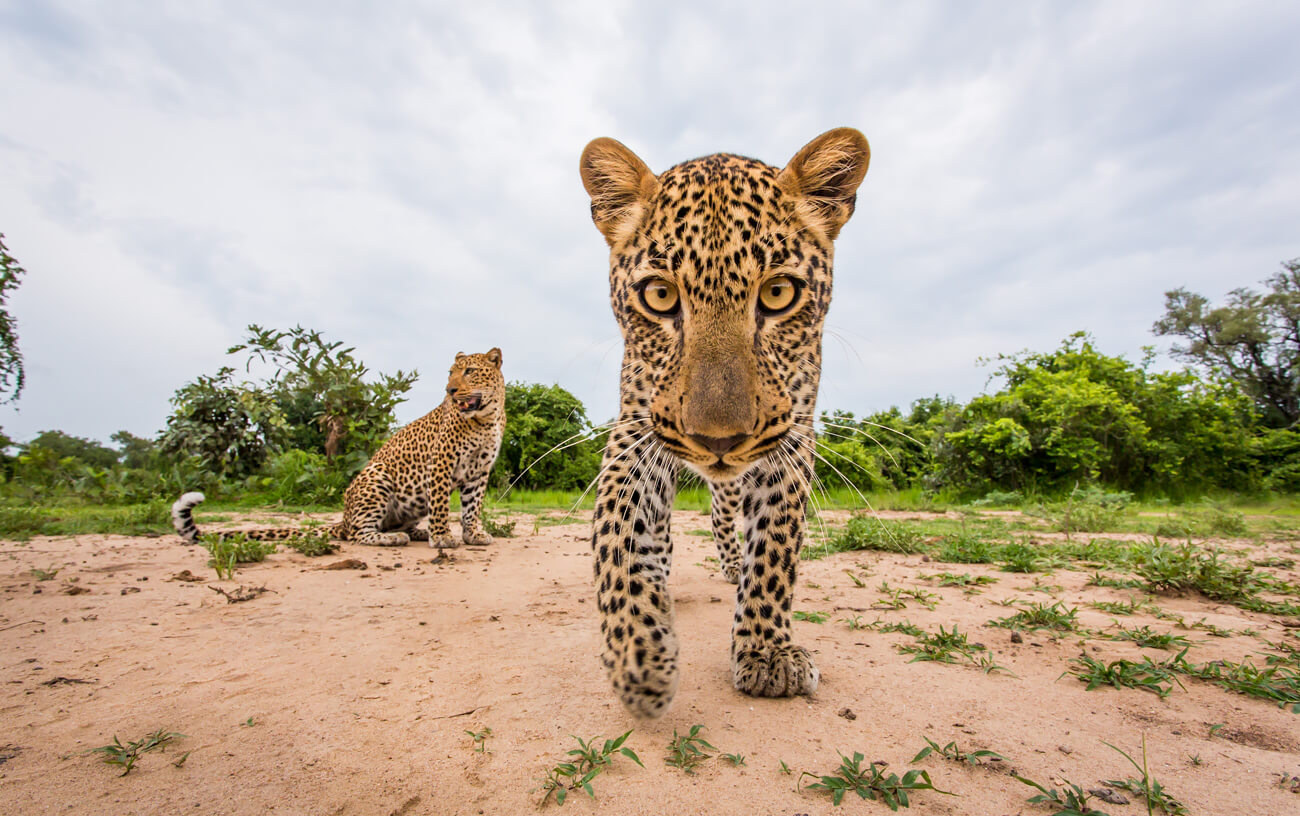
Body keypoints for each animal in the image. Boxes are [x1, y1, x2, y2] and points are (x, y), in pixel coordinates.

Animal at [176, 348, 506, 548]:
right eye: (451, 373)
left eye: (470, 371)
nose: (450, 391)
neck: (485, 419)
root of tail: (343, 518)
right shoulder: (440, 463)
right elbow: (441, 505)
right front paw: (442, 538)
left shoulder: (479, 471)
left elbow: (472, 506)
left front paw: (473, 534)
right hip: (377, 476)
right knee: (358, 534)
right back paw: (392, 538)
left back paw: (412, 532)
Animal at [582, 126, 873, 712]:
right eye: (660, 295)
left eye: (778, 293)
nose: (719, 441)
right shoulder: (635, 430)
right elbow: (616, 531)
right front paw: (639, 653)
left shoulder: (792, 437)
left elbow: (776, 549)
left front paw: (766, 651)